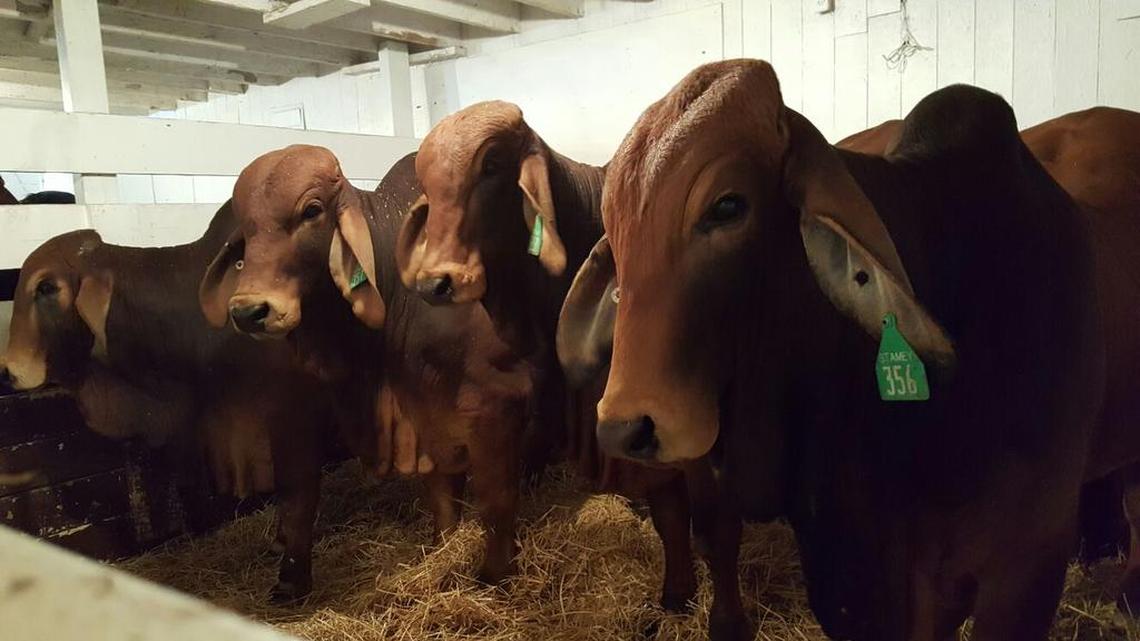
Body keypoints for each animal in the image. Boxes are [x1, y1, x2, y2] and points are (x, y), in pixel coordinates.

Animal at [0, 203, 349, 602]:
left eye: (46, 287)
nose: (8, 370)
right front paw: (278, 544)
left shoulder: (295, 421)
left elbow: (297, 497)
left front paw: (291, 580)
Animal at [198, 147, 532, 588]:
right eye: (246, 230)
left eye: (312, 210)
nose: (249, 311)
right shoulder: (423, 412)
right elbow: (442, 492)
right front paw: (443, 547)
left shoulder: (496, 404)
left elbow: (496, 497)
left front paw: (494, 574)